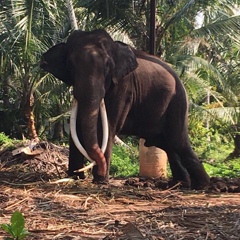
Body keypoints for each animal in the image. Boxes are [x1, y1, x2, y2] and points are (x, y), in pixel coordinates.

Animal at [40, 28, 210, 189]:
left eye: (108, 66)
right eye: (70, 65)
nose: (83, 171)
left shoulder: (123, 85)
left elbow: (107, 126)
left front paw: (100, 181)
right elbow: (77, 128)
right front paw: (75, 177)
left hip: (178, 102)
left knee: (178, 141)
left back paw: (203, 185)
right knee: (168, 145)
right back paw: (180, 184)